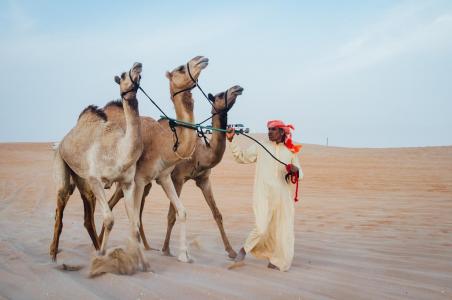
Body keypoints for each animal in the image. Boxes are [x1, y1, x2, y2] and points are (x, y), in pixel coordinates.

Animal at [50, 62, 148, 270]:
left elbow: (134, 225)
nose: (137, 65)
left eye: (140, 75)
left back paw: (95, 250)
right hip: (64, 165)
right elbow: (109, 220)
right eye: (123, 74)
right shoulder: (95, 179)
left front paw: (144, 264)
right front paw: (103, 256)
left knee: (87, 218)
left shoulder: (128, 183)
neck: (119, 151)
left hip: (82, 179)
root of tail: (63, 140)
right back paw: (54, 255)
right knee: (60, 206)